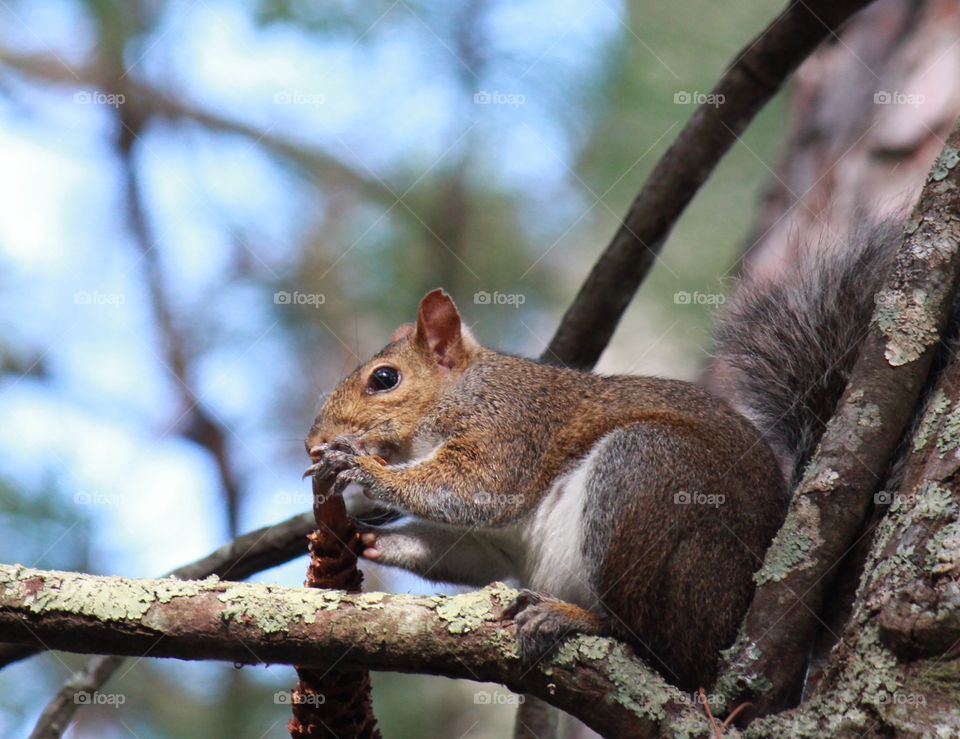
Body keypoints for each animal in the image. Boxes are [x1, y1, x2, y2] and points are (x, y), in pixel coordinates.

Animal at [303, 222, 902, 691]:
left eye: (384, 379)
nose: (311, 441)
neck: (462, 391)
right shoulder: (494, 544)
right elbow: (467, 550)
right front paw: (367, 537)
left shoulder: (511, 430)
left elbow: (475, 489)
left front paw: (359, 468)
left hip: (646, 477)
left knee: (654, 646)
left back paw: (575, 618)